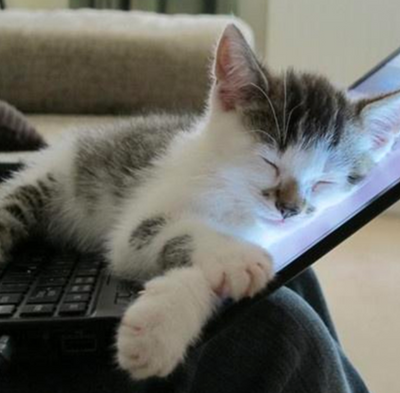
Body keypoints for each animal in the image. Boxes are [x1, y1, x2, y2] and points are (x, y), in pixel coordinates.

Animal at [0, 23, 400, 376]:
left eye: (323, 182)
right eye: (268, 161)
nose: (289, 210)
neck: (232, 196)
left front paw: (160, 325)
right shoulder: (137, 225)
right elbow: (178, 230)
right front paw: (235, 256)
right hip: (47, 180)